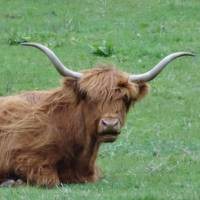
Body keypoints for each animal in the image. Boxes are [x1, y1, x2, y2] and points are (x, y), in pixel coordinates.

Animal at [0, 43, 194, 187]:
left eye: (125, 98)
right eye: (90, 96)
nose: (110, 124)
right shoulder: (27, 159)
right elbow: (50, 180)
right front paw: (12, 182)